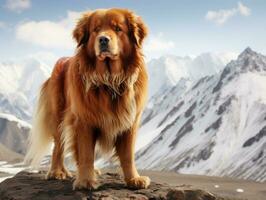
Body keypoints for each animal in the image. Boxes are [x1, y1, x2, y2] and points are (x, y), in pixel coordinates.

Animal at [25, 8, 150, 190]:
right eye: (96, 30)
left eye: (118, 29)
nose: (103, 39)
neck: (109, 80)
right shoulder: (83, 120)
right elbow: (86, 153)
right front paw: (85, 181)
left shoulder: (130, 122)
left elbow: (128, 155)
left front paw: (134, 179)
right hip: (58, 116)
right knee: (58, 146)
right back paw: (56, 171)